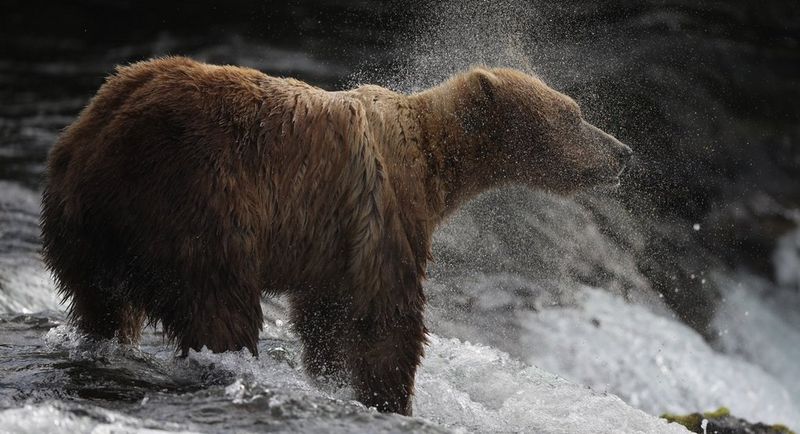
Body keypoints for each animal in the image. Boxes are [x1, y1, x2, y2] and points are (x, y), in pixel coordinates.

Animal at [41, 56, 631, 415]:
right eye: (574, 115)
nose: (622, 152)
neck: (438, 162)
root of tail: (99, 134)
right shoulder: (387, 212)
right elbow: (387, 317)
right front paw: (391, 399)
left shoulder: (335, 242)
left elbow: (325, 314)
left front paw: (329, 378)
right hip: (199, 203)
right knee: (219, 306)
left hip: (82, 226)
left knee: (102, 304)